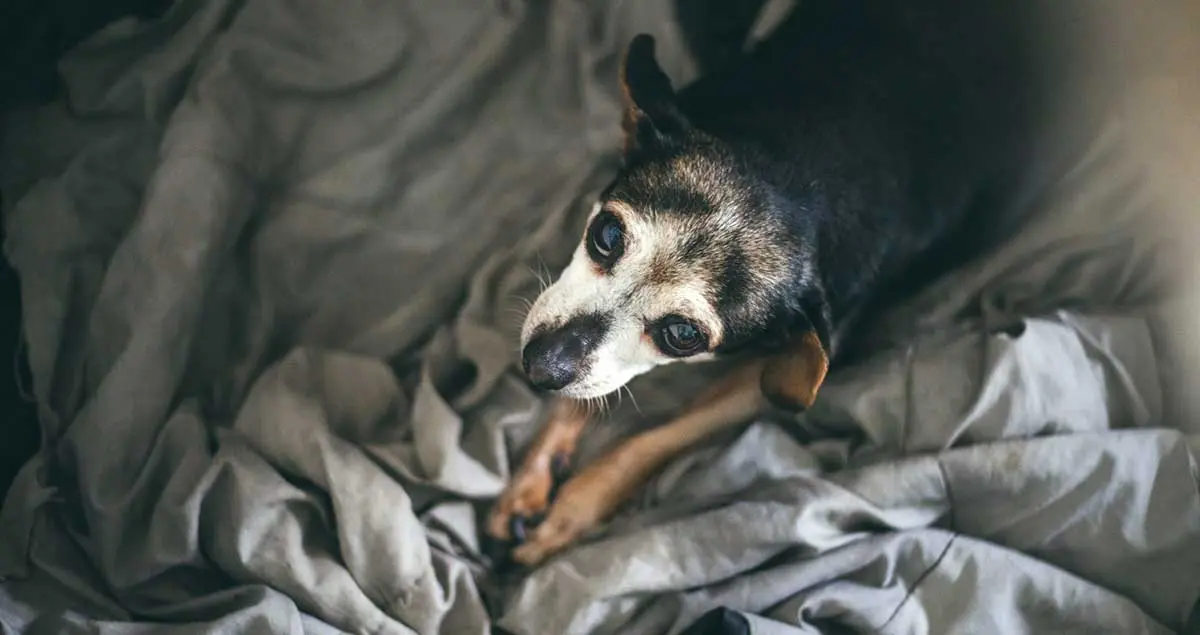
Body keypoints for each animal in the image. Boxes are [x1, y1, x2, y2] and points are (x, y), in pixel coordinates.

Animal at [487, 0, 1041, 564]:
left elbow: (653, 438)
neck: (796, 165)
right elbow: (576, 392)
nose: (539, 366)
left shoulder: (773, 375)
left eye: (682, 335)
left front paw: (570, 511)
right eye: (607, 234)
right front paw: (532, 482)